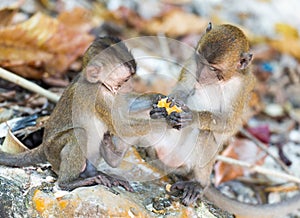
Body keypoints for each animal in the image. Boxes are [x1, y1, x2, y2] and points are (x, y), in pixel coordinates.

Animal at [151, 23, 300, 217]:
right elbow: (180, 91)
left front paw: (193, 117)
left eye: (214, 69)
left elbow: (228, 122)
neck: (221, 81)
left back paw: (198, 183)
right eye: (201, 62)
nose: (201, 77)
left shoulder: (240, 88)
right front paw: (163, 108)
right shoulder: (192, 62)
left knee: (205, 135)